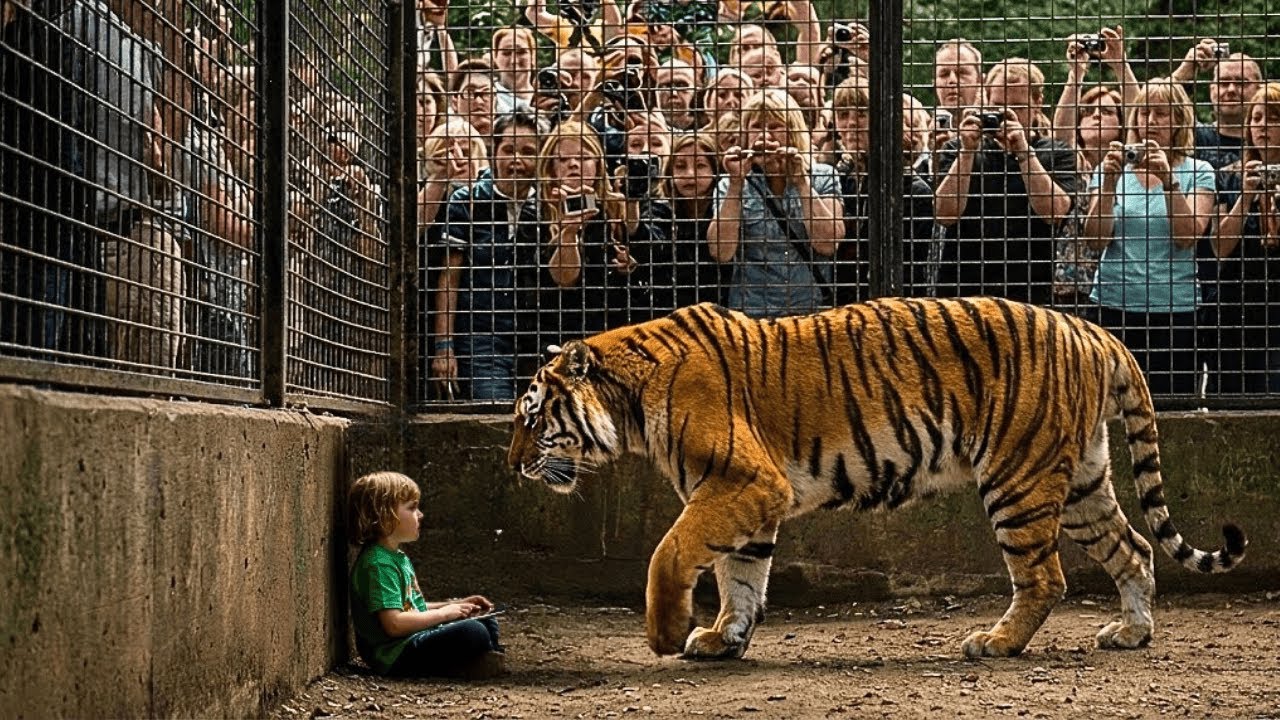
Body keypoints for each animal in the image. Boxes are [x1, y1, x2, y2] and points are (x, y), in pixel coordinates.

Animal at [506, 298, 1247, 660]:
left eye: (533, 417)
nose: (513, 465)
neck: (630, 401)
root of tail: (1094, 331)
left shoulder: (743, 483)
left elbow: (672, 551)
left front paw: (665, 634)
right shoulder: (752, 500)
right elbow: (741, 577)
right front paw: (724, 640)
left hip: (1018, 479)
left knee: (1046, 577)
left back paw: (997, 643)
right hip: (1083, 482)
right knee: (1136, 549)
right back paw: (1131, 633)